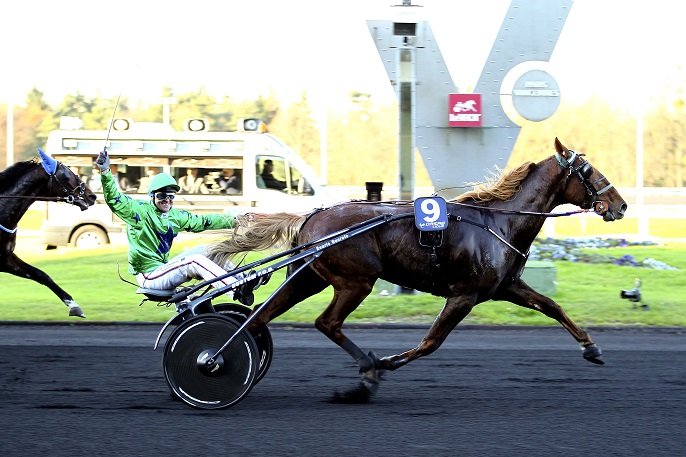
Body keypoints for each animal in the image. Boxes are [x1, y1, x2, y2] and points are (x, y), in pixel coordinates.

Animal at [207, 138, 628, 400]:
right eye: (590, 172)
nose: (621, 205)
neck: (499, 222)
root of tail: (312, 215)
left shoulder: (506, 286)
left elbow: (552, 306)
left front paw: (591, 347)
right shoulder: (464, 295)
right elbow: (430, 342)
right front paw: (386, 363)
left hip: (309, 277)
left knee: (261, 318)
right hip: (355, 281)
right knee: (327, 323)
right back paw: (366, 368)